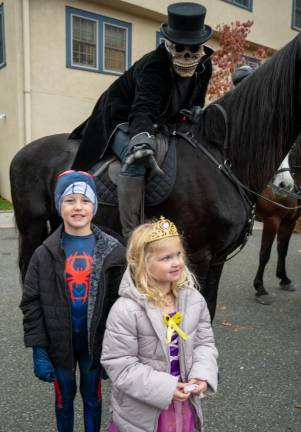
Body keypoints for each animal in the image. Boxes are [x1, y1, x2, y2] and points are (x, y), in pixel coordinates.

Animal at [253, 142, 300, 304]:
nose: (283, 185)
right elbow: (264, 254)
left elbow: (282, 250)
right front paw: (260, 288)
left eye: (292, 148)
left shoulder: (289, 222)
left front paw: (284, 278)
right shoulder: (271, 221)